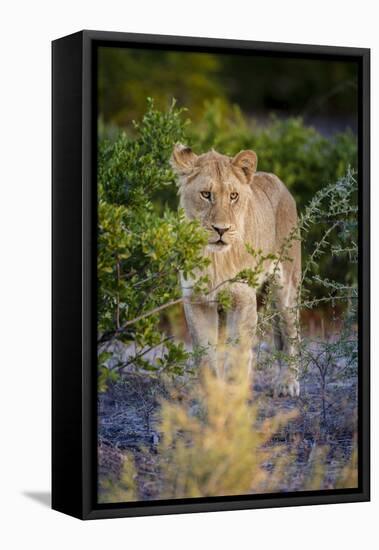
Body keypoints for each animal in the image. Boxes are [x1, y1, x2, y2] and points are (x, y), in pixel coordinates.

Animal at [172, 144, 302, 398]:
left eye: (233, 196)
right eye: (206, 194)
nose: (221, 230)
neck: (214, 258)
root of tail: (278, 180)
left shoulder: (242, 300)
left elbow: (238, 356)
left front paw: (233, 398)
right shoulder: (197, 301)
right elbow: (206, 356)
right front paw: (212, 398)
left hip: (286, 288)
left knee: (291, 333)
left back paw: (287, 383)